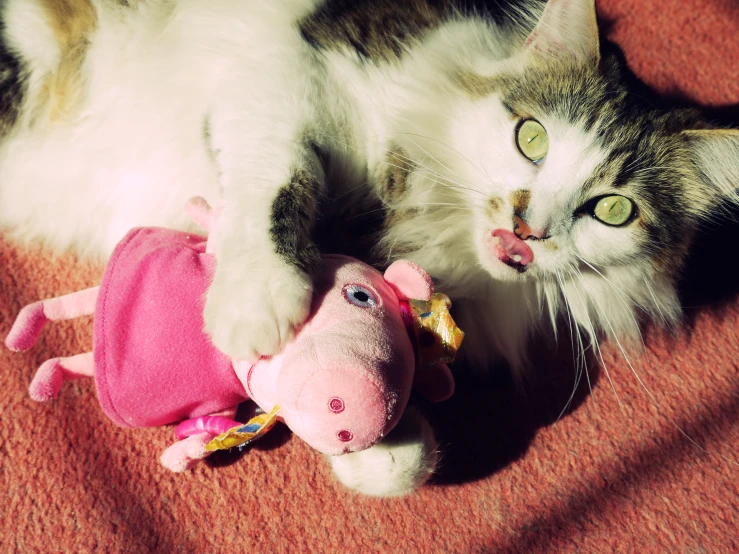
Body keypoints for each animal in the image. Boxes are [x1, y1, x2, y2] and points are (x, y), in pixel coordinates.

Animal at [0, 0, 736, 494]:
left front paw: (373, 446)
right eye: (531, 137)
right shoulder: (280, 73)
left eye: (612, 209)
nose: (529, 226)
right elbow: (279, 176)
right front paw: (256, 304)